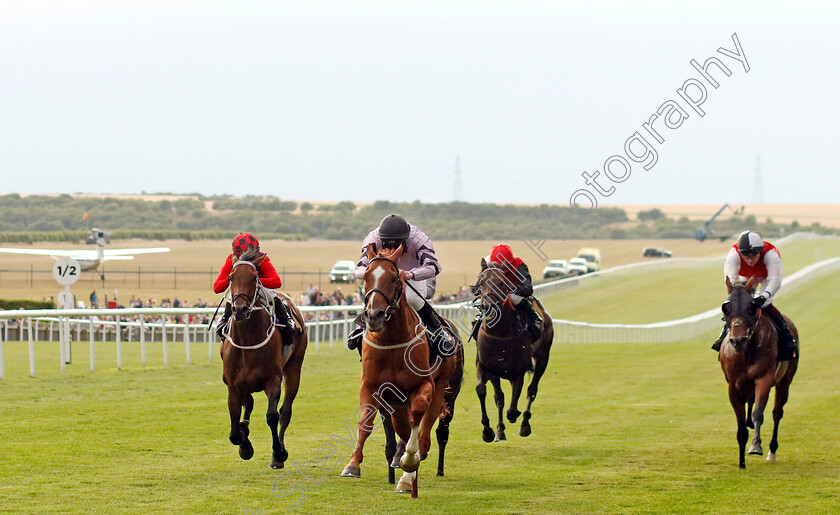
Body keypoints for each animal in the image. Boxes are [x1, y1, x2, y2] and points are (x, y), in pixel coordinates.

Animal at [220, 251, 306, 472]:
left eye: (254, 277)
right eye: (230, 278)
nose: (239, 309)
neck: (248, 340)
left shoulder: (273, 380)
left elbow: (272, 416)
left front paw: (279, 452)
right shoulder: (233, 385)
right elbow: (234, 431)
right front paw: (245, 444)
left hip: (294, 369)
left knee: (286, 411)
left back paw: (279, 454)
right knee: (249, 402)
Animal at [338, 246, 462, 500]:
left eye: (394, 278)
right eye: (366, 277)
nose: (373, 315)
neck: (392, 340)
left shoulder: (423, 386)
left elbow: (416, 422)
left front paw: (408, 467)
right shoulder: (372, 387)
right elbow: (366, 422)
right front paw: (352, 464)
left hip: (442, 388)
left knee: (424, 434)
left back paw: (408, 473)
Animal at [476, 262, 556, 444]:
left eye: (502, 283)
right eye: (481, 282)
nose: (487, 307)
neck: (500, 333)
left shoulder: (518, 371)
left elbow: (513, 405)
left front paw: (514, 417)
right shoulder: (486, 367)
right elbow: (485, 391)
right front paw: (489, 430)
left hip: (543, 357)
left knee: (531, 390)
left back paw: (525, 424)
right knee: (500, 397)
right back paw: (500, 430)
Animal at [720, 276, 796, 470]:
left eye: (751, 307)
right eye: (726, 307)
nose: (738, 340)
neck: (747, 351)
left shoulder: (764, 379)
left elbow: (758, 413)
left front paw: (755, 446)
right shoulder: (733, 385)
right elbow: (740, 422)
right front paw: (741, 463)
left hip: (785, 381)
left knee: (777, 412)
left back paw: (772, 452)